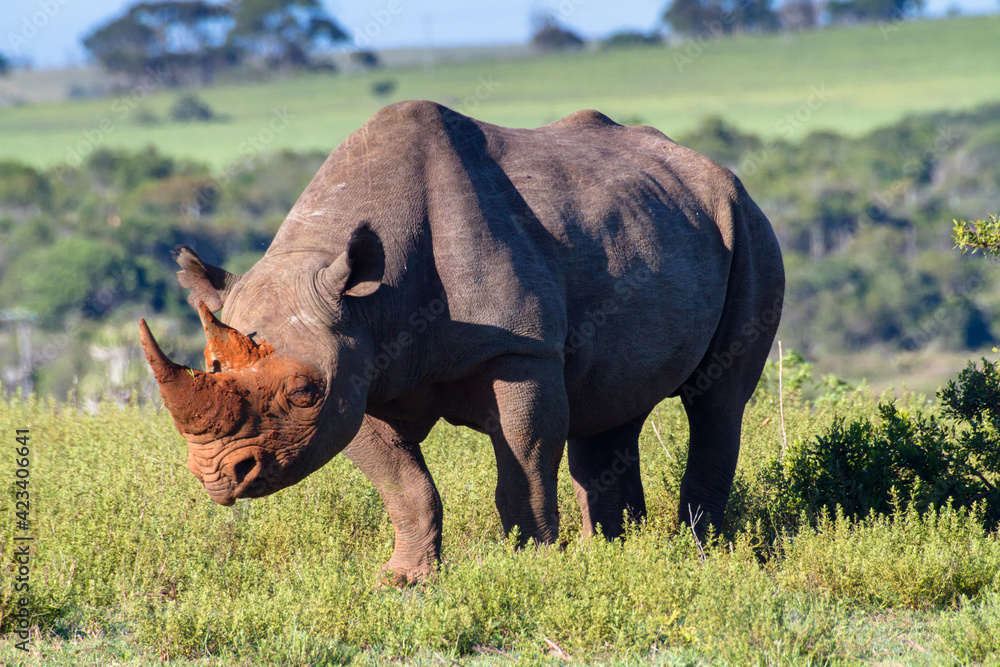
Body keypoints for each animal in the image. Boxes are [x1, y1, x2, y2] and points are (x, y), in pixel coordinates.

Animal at [140, 101, 784, 583]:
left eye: (302, 392)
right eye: (212, 365)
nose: (217, 478)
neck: (367, 294)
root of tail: (720, 174)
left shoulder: (518, 351)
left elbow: (525, 465)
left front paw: (531, 567)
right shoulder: (359, 372)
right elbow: (405, 486)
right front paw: (404, 579)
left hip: (748, 225)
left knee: (717, 400)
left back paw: (702, 554)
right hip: (650, 227)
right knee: (612, 406)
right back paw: (618, 554)